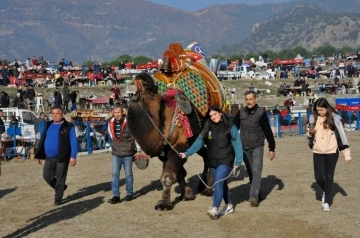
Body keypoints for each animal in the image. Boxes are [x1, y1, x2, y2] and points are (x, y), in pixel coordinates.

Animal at [128, 42, 226, 210]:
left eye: (147, 87)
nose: (133, 93)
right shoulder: (166, 150)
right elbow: (179, 172)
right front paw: (187, 193)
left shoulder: (179, 144)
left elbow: (168, 176)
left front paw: (164, 203)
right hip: (196, 140)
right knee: (205, 155)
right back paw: (203, 186)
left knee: (211, 156)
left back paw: (208, 189)